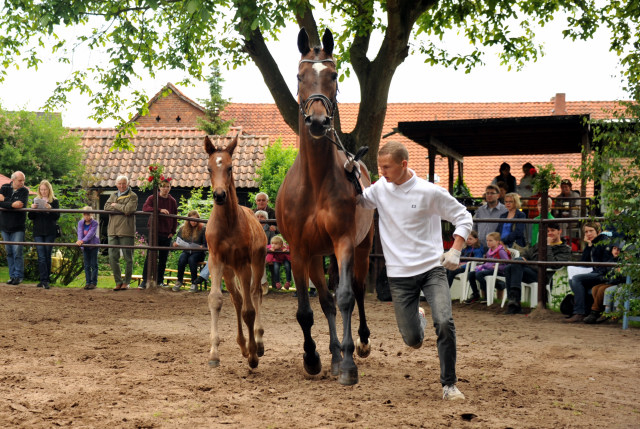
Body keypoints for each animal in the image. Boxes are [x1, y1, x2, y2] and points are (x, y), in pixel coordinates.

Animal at [204, 135, 266, 368]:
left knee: (255, 294)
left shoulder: (243, 263)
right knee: (238, 299)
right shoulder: (216, 261)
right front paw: (214, 354)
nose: (220, 195)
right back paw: (242, 344)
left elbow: (249, 310)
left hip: (256, 263)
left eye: (230, 167)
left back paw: (257, 342)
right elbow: (216, 300)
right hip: (230, 272)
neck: (229, 223)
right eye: (209, 168)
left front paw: (253, 355)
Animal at [276, 28, 376, 386]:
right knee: (326, 300)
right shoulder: (299, 250)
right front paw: (313, 358)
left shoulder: (344, 242)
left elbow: (346, 298)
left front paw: (348, 364)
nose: (318, 121)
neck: (316, 182)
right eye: (299, 76)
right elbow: (308, 310)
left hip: (362, 247)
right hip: (318, 256)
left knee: (356, 291)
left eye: (333, 75)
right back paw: (332, 354)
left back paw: (358, 345)